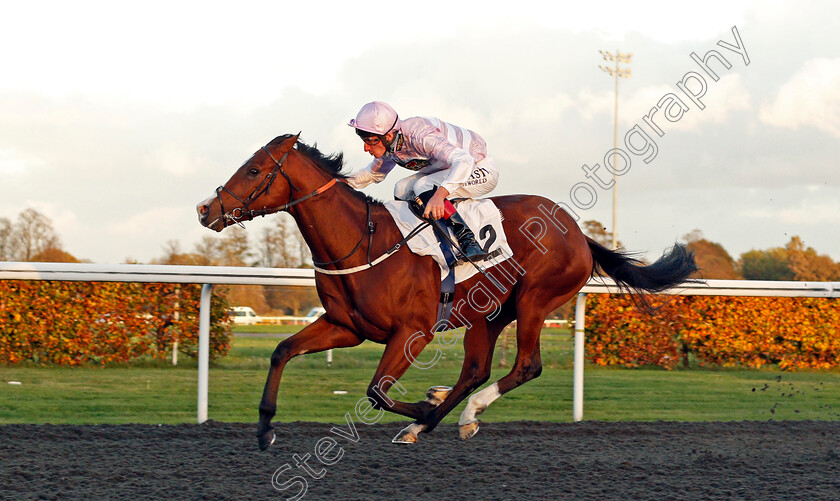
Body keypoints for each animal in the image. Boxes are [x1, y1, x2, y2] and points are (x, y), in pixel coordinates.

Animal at [195, 133, 696, 450]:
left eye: (254, 169)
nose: (204, 209)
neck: (364, 240)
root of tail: (577, 233)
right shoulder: (345, 327)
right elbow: (281, 351)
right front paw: (264, 428)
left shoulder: (411, 333)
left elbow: (376, 391)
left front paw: (421, 404)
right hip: (489, 314)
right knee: (475, 369)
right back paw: (439, 419)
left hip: (534, 299)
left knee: (526, 365)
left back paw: (454, 414)